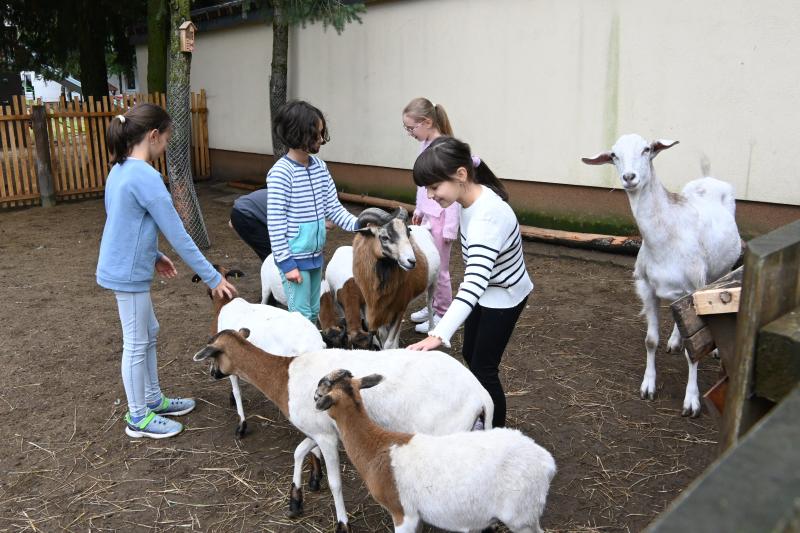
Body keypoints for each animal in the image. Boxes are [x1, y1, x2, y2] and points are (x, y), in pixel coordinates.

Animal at [194, 326, 494, 528]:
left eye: (213, 355)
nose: (213, 374)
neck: (283, 379)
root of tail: (480, 394)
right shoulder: (322, 430)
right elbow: (299, 451)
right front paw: (295, 501)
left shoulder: (325, 436)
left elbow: (335, 482)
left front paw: (341, 523)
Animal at [314, 370, 556, 532]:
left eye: (324, 386)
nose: (314, 395)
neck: (377, 448)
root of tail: (547, 463)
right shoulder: (417, 516)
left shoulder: (403, 512)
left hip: (521, 516)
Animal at [580, 133, 744, 416]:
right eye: (613, 155)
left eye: (647, 149)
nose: (629, 177)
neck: (667, 238)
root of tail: (708, 177)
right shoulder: (646, 287)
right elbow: (650, 340)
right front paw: (648, 387)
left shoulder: (695, 286)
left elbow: (694, 351)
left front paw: (691, 402)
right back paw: (675, 340)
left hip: (720, 270)